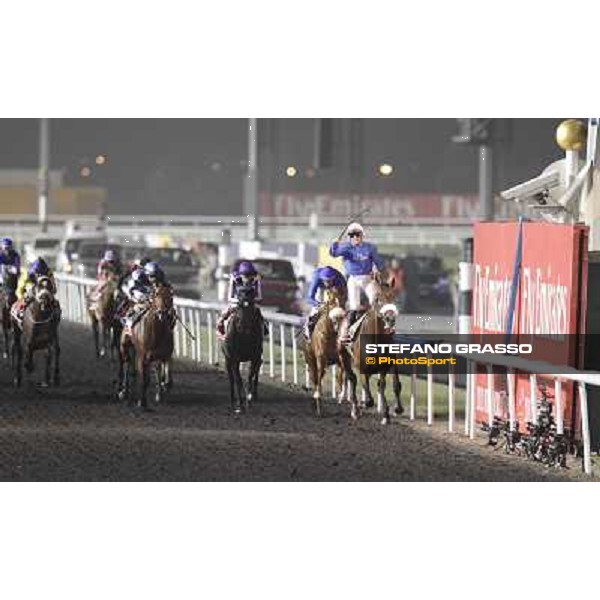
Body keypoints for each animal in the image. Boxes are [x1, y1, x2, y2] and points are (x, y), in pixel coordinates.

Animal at [220, 284, 262, 414]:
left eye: (251, 293)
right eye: (239, 305)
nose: (243, 327)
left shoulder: (255, 356)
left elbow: (250, 376)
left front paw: (249, 399)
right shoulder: (234, 358)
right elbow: (238, 379)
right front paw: (241, 403)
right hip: (227, 359)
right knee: (231, 378)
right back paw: (233, 398)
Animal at [338, 274, 404, 424]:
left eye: (393, 297)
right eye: (378, 298)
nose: (390, 318)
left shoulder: (386, 365)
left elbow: (385, 385)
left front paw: (388, 413)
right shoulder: (360, 365)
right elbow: (367, 392)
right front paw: (364, 404)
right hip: (343, 355)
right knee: (352, 377)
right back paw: (355, 410)